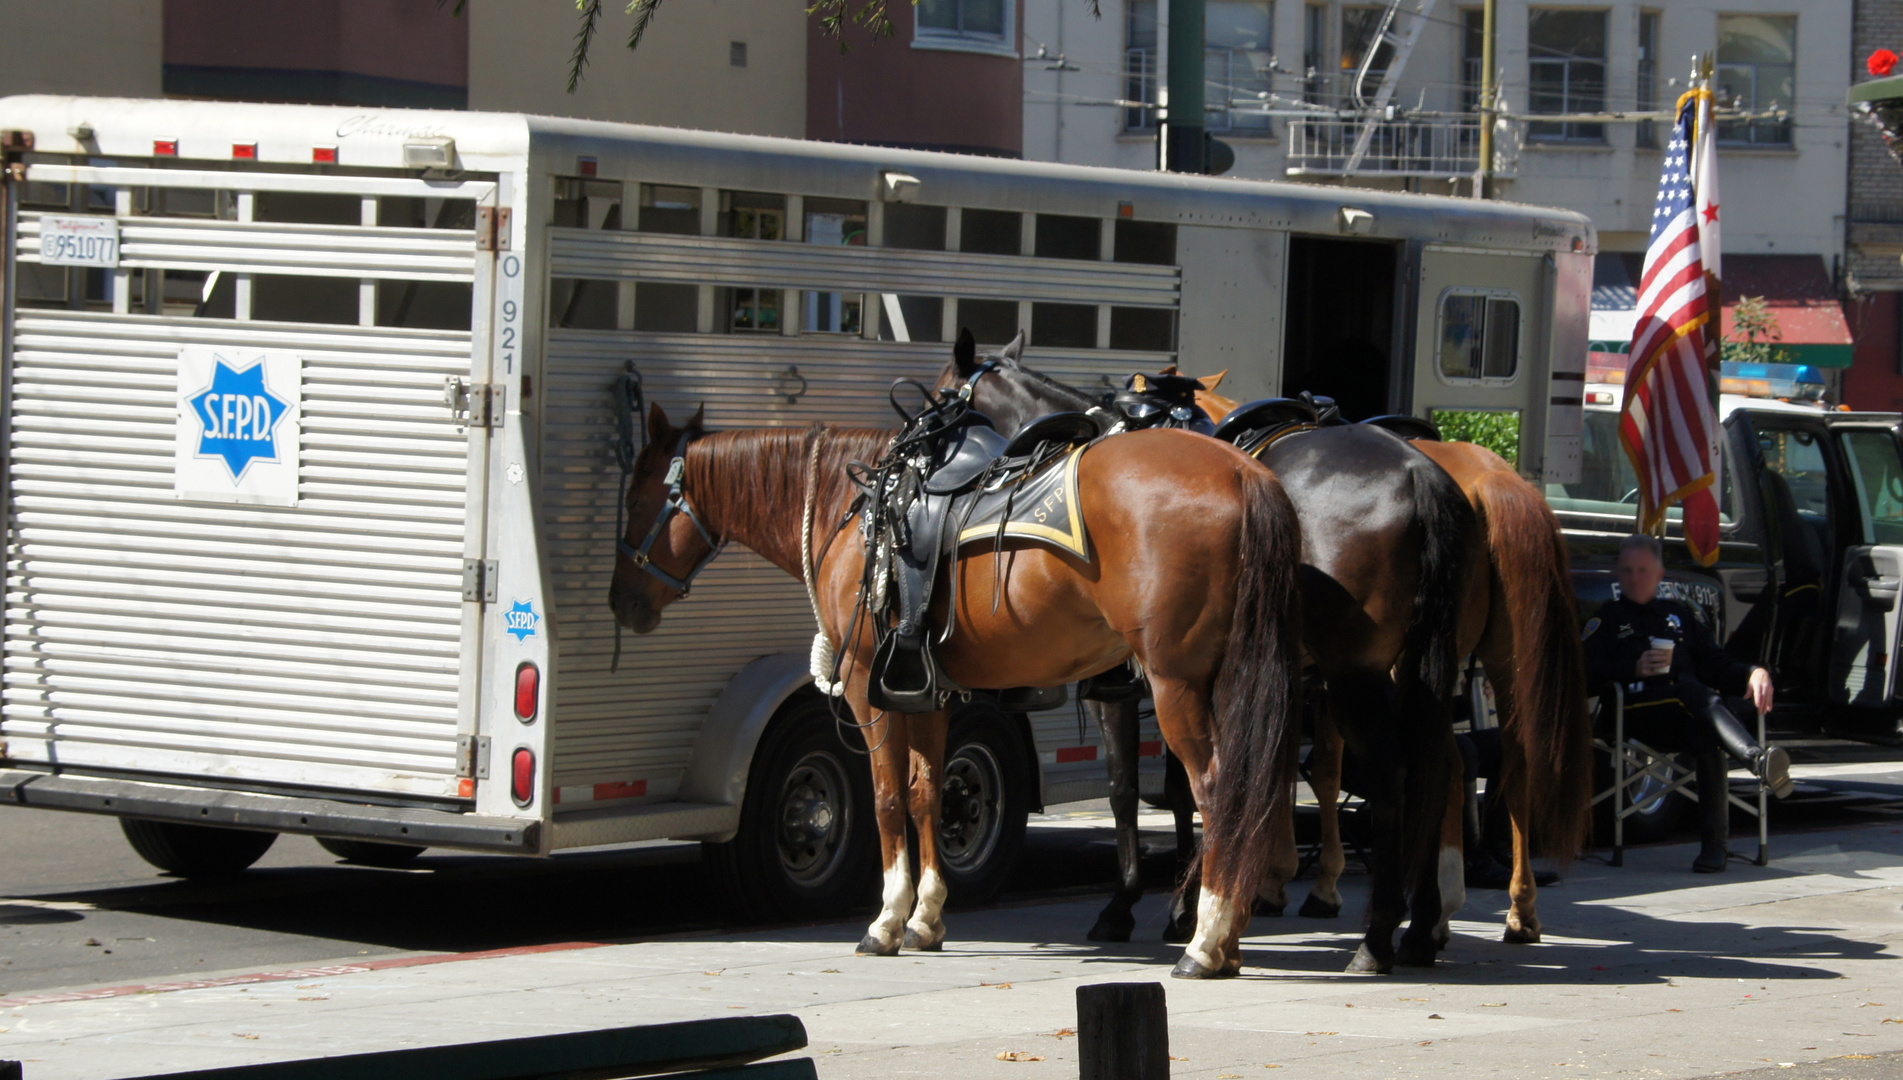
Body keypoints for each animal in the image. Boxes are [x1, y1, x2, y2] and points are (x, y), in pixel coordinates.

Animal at [608, 403, 1309, 981]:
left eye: (638, 497)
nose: (622, 602)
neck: (857, 509)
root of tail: (1243, 473)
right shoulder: (927, 690)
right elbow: (926, 795)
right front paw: (926, 918)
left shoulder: (865, 683)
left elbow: (887, 798)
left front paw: (886, 921)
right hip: (1229, 678)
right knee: (1251, 790)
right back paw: (1230, 936)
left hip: (1176, 682)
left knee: (1217, 791)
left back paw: (1205, 942)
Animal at [951, 338, 1484, 969]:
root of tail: (1420, 473)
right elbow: (1187, 791)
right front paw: (1192, 905)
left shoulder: (1126, 689)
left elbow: (1128, 789)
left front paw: (1137, 906)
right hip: (1419, 670)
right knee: (1442, 765)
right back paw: (1423, 923)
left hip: (1356, 675)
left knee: (1392, 776)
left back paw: (1375, 939)